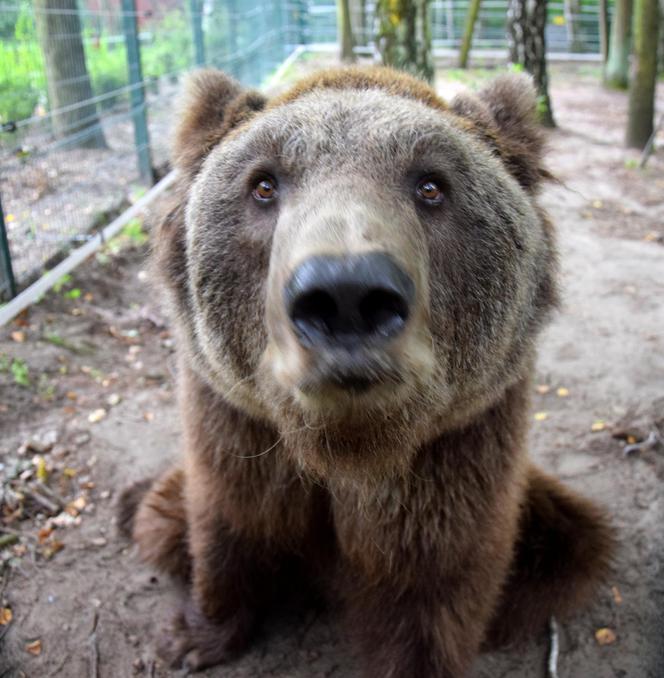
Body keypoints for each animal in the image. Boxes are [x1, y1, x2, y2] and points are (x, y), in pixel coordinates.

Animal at [118, 65, 612, 678]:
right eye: (263, 184)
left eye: (431, 185)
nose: (346, 295)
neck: (347, 453)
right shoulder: (236, 432)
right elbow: (230, 521)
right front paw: (195, 636)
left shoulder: (453, 465)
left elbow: (432, 587)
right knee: (161, 516)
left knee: (571, 546)